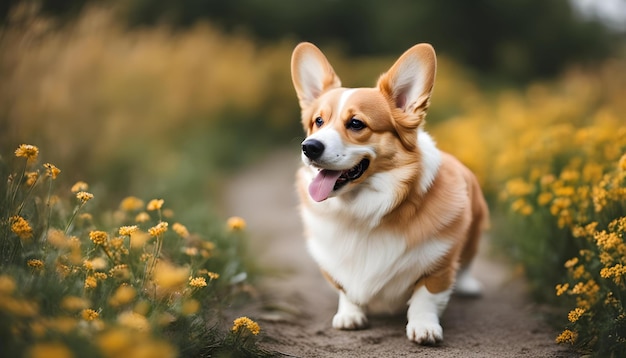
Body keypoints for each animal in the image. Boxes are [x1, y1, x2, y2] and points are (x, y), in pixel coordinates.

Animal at [288, 42, 488, 344]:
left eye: (356, 124)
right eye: (318, 121)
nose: (309, 146)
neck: (364, 209)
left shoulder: (439, 264)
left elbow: (426, 297)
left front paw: (424, 327)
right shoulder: (333, 262)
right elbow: (345, 289)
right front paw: (350, 315)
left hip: (475, 230)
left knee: (467, 261)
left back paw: (467, 285)